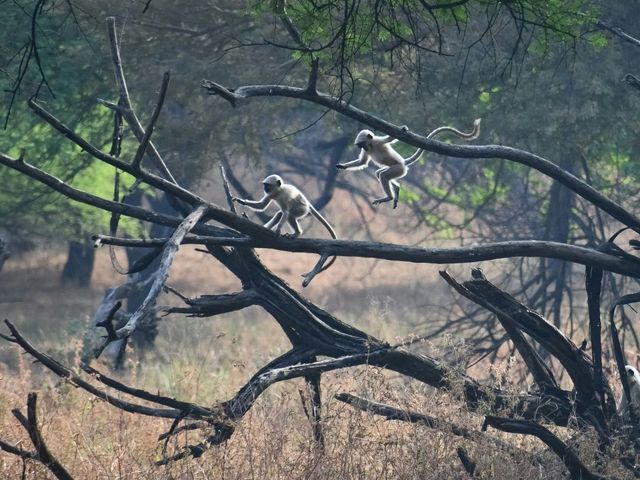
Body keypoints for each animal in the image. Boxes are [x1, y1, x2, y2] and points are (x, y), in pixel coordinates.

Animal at [336, 118, 481, 208]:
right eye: (360, 146)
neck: (371, 146)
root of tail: (403, 163)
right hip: (396, 169)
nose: (363, 148)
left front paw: (403, 129)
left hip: (398, 169)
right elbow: (362, 162)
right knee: (380, 173)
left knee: (383, 175)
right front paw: (342, 166)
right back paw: (396, 189)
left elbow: (392, 138)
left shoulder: (378, 141)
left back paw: (389, 197)